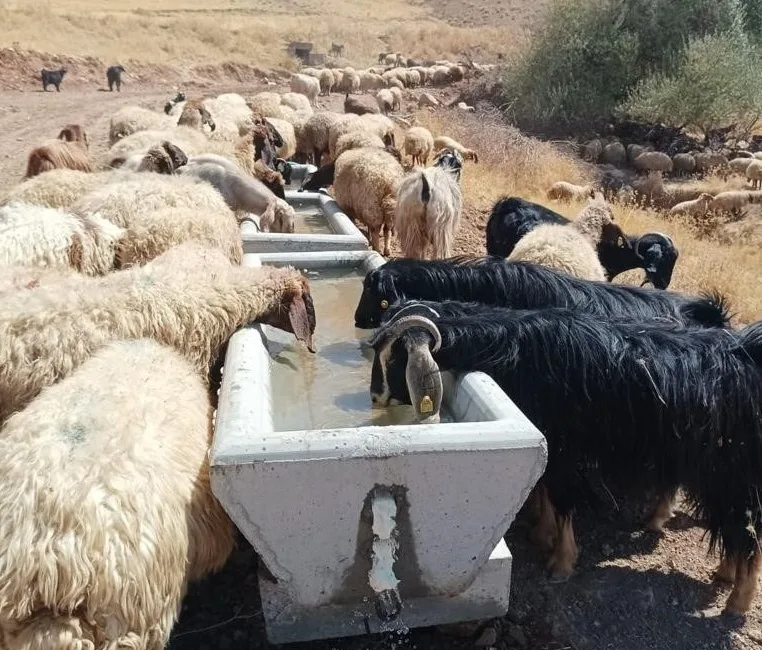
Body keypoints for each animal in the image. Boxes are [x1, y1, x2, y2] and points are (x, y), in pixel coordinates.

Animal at [372, 302, 760, 616]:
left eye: (395, 357)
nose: (375, 397)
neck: (520, 352)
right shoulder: (553, 450)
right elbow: (543, 494)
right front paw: (542, 535)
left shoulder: (567, 454)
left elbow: (561, 502)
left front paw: (560, 563)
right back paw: (721, 571)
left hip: (730, 477)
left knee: (748, 536)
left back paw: (736, 603)